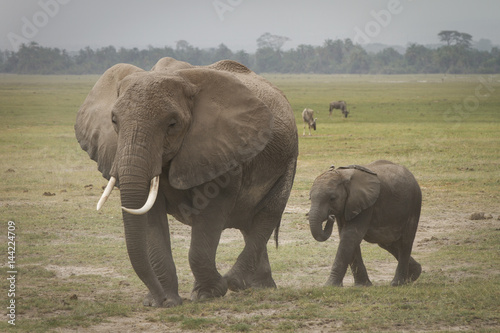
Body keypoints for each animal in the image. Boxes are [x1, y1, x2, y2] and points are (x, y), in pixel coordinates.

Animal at [75, 56, 296, 306]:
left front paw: (208, 294)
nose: (159, 298)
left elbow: (211, 212)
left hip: (287, 161)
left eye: (172, 124)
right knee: (249, 224)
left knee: (267, 215)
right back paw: (259, 287)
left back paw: (235, 282)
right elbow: (151, 215)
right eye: (114, 120)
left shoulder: (222, 151)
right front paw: (164, 302)